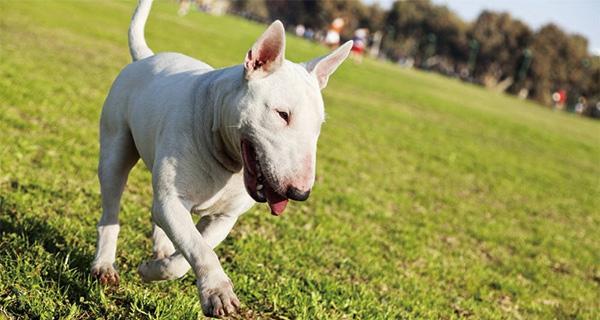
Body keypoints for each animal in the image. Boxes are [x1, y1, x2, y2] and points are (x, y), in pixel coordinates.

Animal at [89, 0, 352, 318]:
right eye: (282, 114)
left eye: (319, 126)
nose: (299, 193)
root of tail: (146, 57)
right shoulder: (172, 201)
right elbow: (199, 249)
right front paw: (217, 293)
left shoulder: (224, 217)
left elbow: (192, 251)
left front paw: (156, 268)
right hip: (115, 150)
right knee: (111, 207)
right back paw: (104, 264)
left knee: (157, 217)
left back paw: (161, 249)